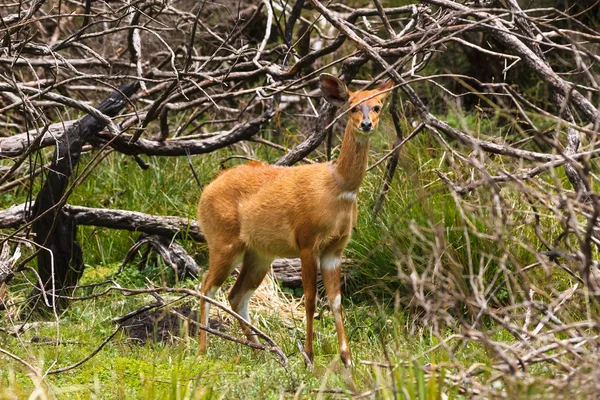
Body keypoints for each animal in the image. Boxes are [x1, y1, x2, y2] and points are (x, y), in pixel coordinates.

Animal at [197, 73, 394, 368]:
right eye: (352, 107)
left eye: (378, 106)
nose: (367, 124)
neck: (337, 187)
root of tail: (204, 194)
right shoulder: (307, 240)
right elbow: (311, 299)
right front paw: (309, 356)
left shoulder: (335, 248)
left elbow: (336, 300)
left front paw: (347, 358)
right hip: (223, 241)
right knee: (206, 286)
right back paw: (201, 348)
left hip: (259, 253)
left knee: (236, 294)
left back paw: (260, 349)